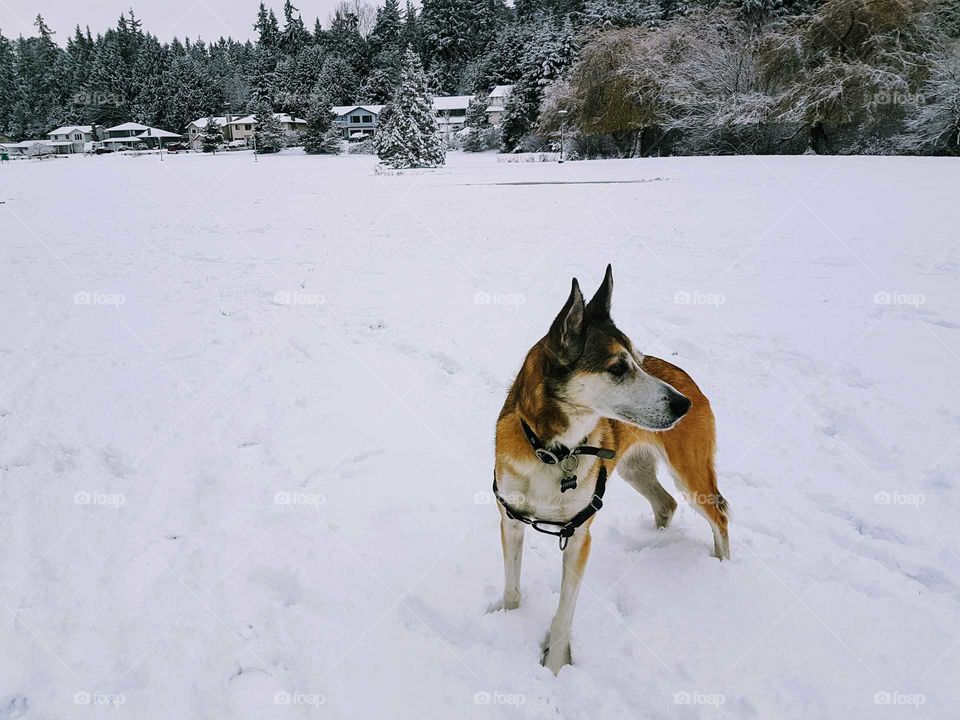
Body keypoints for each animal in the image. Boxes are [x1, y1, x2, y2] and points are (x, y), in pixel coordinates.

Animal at [496, 264, 728, 676]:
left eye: (638, 359)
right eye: (618, 368)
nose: (682, 405)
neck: (554, 452)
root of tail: (688, 378)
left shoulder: (578, 535)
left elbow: (564, 613)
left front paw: (555, 667)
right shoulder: (510, 518)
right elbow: (512, 588)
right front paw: (508, 624)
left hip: (691, 473)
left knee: (719, 513)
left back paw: (722, 568)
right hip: (634, 469)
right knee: (666, 504)